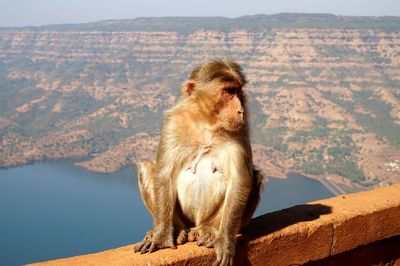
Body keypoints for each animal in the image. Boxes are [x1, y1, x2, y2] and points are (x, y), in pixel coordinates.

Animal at [134, 59, 262, 264]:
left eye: (238, 91)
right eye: (229, 91)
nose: (240, 110)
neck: (206, 122)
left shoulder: (241, 130)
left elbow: (240, 181)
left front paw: (225, 242)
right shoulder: (173, 123)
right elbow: (164, 175)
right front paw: (162, 236)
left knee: (254, 177)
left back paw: (210, 231)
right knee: (146, 168)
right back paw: (176, 229)